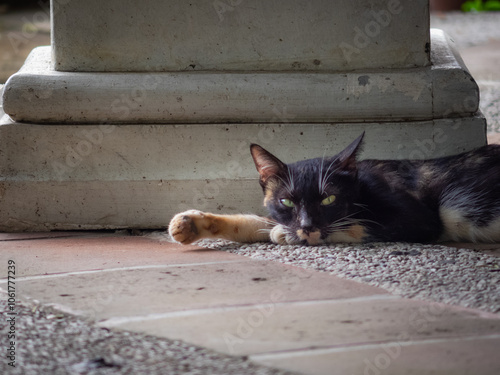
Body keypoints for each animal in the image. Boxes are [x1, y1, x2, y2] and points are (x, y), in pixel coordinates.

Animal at [169, 133, 500, 247]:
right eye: (287, 202)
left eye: (329, 198)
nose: (307, 225)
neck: (362, 189)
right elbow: (255, 223)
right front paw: (193, 223)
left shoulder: (420, 220)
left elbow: (359, 226)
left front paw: (286, 235)